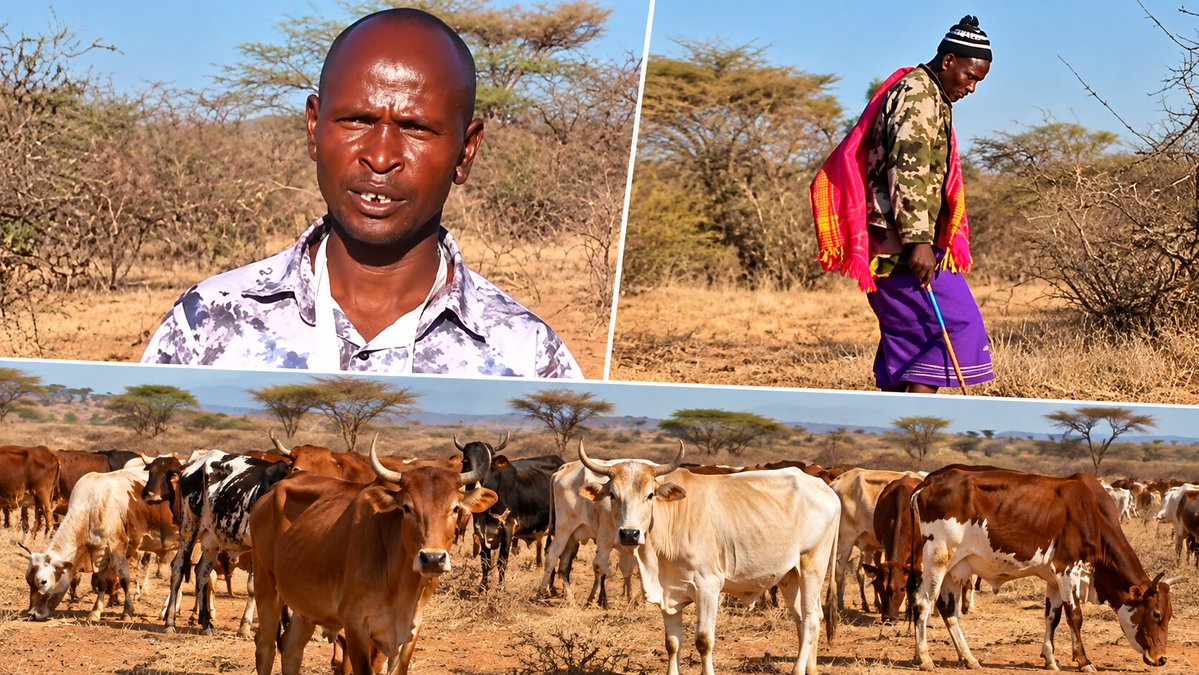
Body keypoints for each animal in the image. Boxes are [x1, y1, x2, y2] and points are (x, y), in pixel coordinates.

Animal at [20, 468, 166, 621]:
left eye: (44, 581)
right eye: (28, 580)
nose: (32, 614)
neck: (92, 506)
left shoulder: (118, 548)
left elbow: (124, 580)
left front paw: (127, 611)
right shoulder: (100, 553)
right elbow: (101, 583)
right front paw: (95, 612)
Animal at [251, 436, 498, 675]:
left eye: (455, 508)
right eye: (407, 507)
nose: (433, 559)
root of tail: (268, 494)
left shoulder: (411, 630)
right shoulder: (356, 625)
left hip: (305, 607)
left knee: (291, 650)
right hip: (267, 585)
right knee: (265, 646)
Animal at [538, 459, 637, 608]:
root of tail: (564, 468)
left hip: (572, 538)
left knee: (564, 566)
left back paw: (570, 598)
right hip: (564, 528)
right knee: (552, 555)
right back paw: (541, 593)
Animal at [578, 441, 840, 675]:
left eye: (650, 495)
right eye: (612, 495)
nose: (630, 534)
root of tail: (826, 489)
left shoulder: (708, 587)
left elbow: (704, 641)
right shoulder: (668, 592)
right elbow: (672, 643)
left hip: (812, 565)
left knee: (811, 619)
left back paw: (798, 669)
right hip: (790, 575)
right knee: (804, 618)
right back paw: (811, 669)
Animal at [910, 466, 1173, 671]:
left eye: (1169, 615)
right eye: (1156, 614)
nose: (1161, 658)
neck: (1091, 514)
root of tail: (929, 481)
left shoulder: (1054, 579)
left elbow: (1052, 617)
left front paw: (1050, 658)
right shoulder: (1069, 571)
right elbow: (1074, 616)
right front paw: (1084, 661)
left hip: (955, 569)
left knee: (949, 611)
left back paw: (969, 658)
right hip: (938, 557)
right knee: (923, 603)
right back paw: (925, 659)